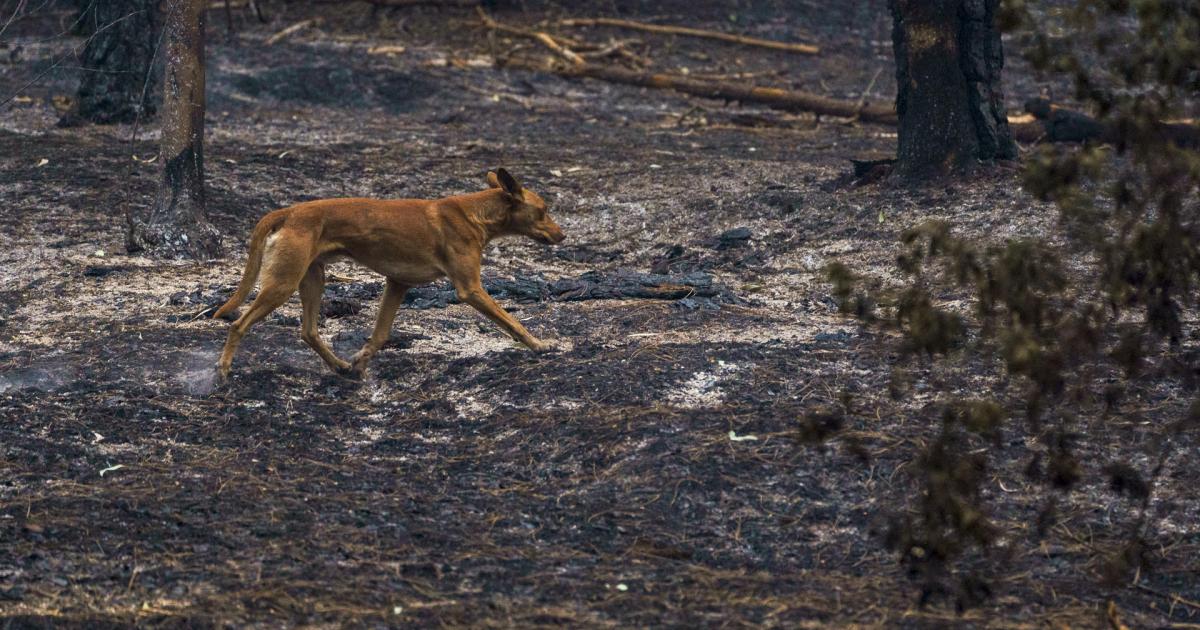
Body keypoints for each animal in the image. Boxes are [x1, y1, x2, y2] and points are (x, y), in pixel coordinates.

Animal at [212, 166, 566, 381]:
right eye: (544, 210)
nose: (562, 235)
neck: (474, 214)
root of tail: (288, 211)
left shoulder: (398, 283)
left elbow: (380, 335)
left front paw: (360, 361)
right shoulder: (470, 288)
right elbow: (512, 321)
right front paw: (538, 344)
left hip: (312, 278)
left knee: (309, 331)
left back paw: (340, 366)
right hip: (283, 284)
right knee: (239, 325)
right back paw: (224, 368)